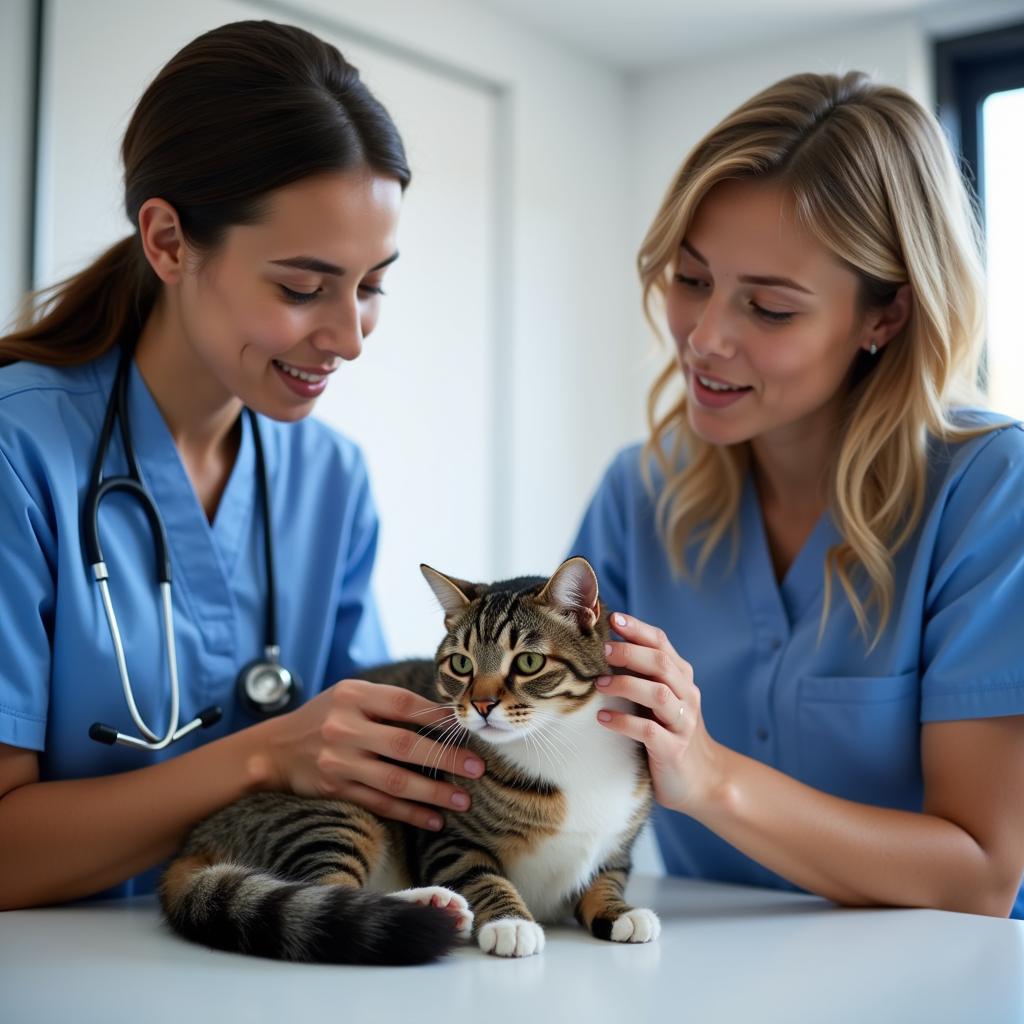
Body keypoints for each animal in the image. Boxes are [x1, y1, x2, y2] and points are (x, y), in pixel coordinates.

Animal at [159, 557, 655, 962]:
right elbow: (479, 872)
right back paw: (429, 907)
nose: (481, 705)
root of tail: (196, 840)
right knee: (331, 896)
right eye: (461, 664)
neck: (562, 740)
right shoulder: (448, 834)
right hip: (333, 813)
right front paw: (510, 922)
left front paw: (620, 912)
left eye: (529, 662)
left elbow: (608, 876)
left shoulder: (618, 841)